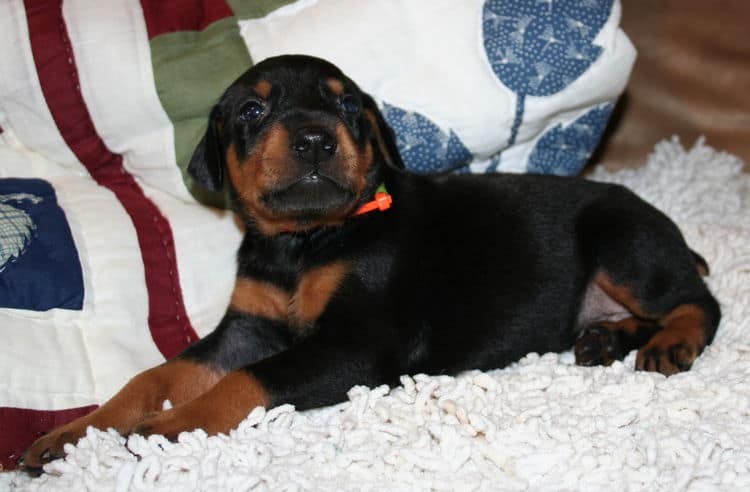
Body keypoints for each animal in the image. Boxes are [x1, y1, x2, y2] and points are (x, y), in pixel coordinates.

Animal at [20, 54, 720, 472]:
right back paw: (605, 338)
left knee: (698, 302)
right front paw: (75, 433)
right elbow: (158, 375)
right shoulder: (247, 326)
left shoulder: (355, 346)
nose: (314, 139)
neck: (303, 243)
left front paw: (172, 427)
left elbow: (244, 382)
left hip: (623, 242)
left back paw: (670, 342)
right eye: (253, 110)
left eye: (348, 106)